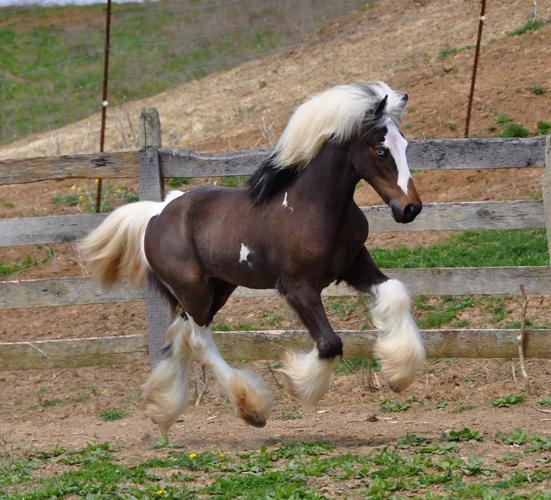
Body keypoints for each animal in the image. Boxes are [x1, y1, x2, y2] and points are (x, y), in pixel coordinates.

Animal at [81, 81, 426, 434]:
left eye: (405, 145)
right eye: (380, 150)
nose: (410, 209)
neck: (311, 208)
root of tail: (155, 213)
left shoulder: (354, 264)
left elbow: (396, 293)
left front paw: (399, 375)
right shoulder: (298, 287)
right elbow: (330, 344)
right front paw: (297, 385)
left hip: (218, 288)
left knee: (181, 337)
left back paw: (163, 408)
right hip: (193, 290)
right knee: (199, 340)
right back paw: (252, 409)